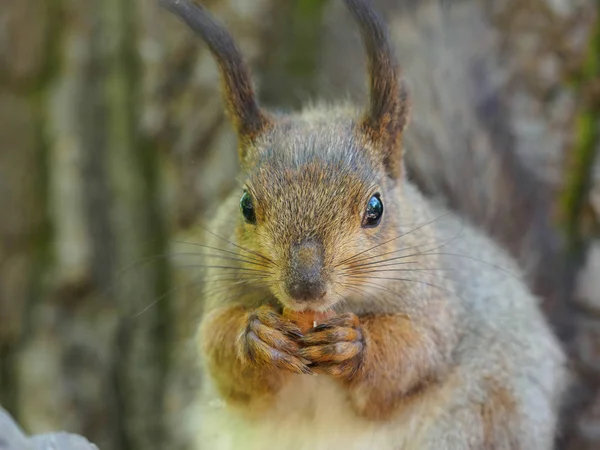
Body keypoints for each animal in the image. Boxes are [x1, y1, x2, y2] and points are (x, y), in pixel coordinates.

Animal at [162, 0, 568, 450]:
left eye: (376, 208)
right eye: (246, 205)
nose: (305, 287)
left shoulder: (434, 303)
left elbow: (414, 351)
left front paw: (353, 344)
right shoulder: (221, 290)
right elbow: (217, 349)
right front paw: (257, 335)